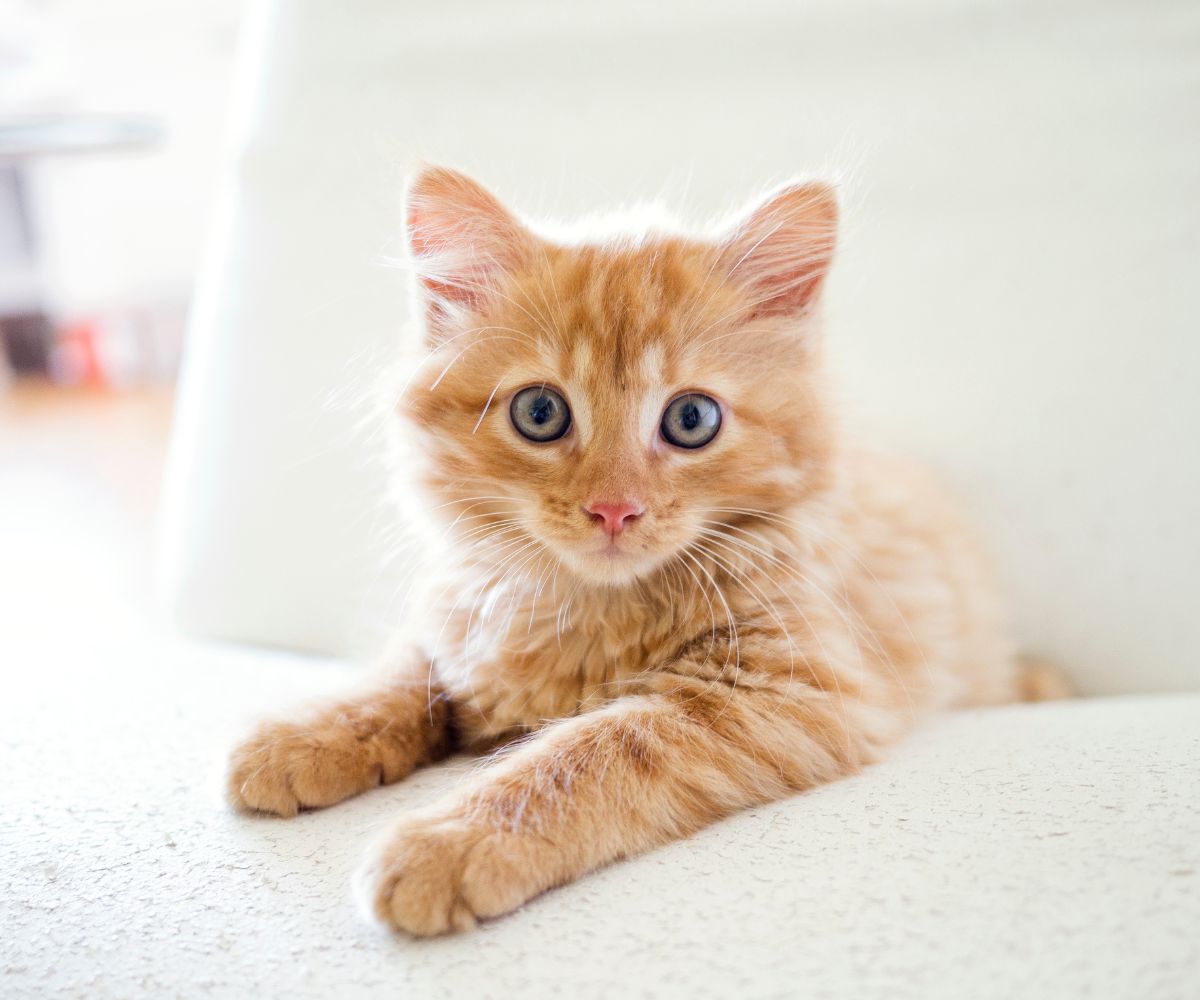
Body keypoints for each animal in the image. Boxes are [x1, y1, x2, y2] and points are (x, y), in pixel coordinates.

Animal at [231, 165, 1032, 936]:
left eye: (691, 419)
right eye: (540, 412)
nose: (614, 509)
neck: (589, 608)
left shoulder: (789, 687)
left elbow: (594, 747)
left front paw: (452, 842)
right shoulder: (460, 613)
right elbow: (404, 672)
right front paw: (305, 733)